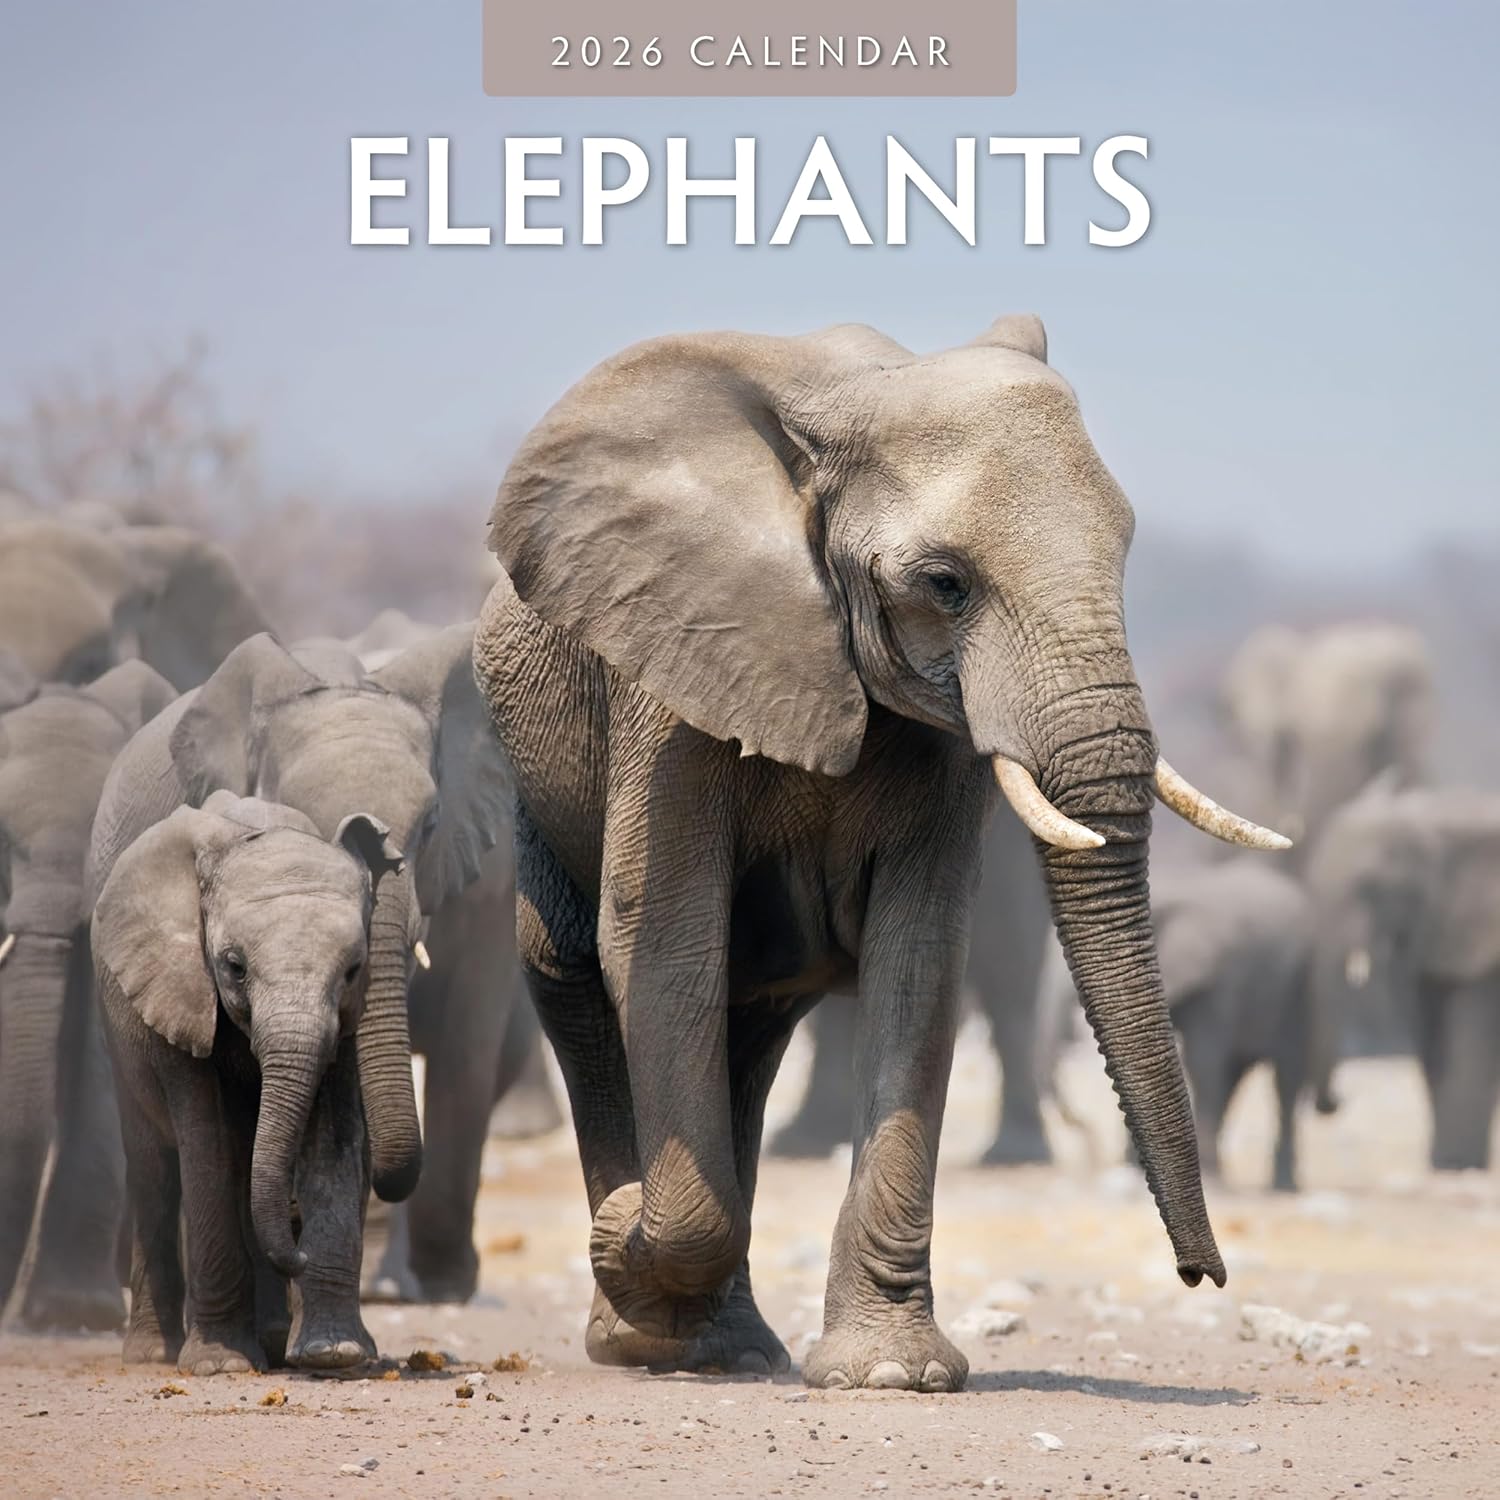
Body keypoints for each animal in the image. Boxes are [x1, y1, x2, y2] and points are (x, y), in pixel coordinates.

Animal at [92, 792, 404, 1373]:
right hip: (119, 1035)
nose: (298, 1250)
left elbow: (332, 1142)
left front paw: (334, 1354)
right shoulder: (179, 989)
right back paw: (152, 1355)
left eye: (353, 970)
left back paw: (276, 1342)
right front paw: (221, 1365)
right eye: (234, 966)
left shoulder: (346, 1024)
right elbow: (207, 1146)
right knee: (155, 1170)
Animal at [1307, 782, 1500, 1171]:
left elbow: (1470, 1039)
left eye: (1370, 888)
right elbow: (1431, 1038)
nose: (1337, 1100)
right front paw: (1446, 1164)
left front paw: (1460, 1165)